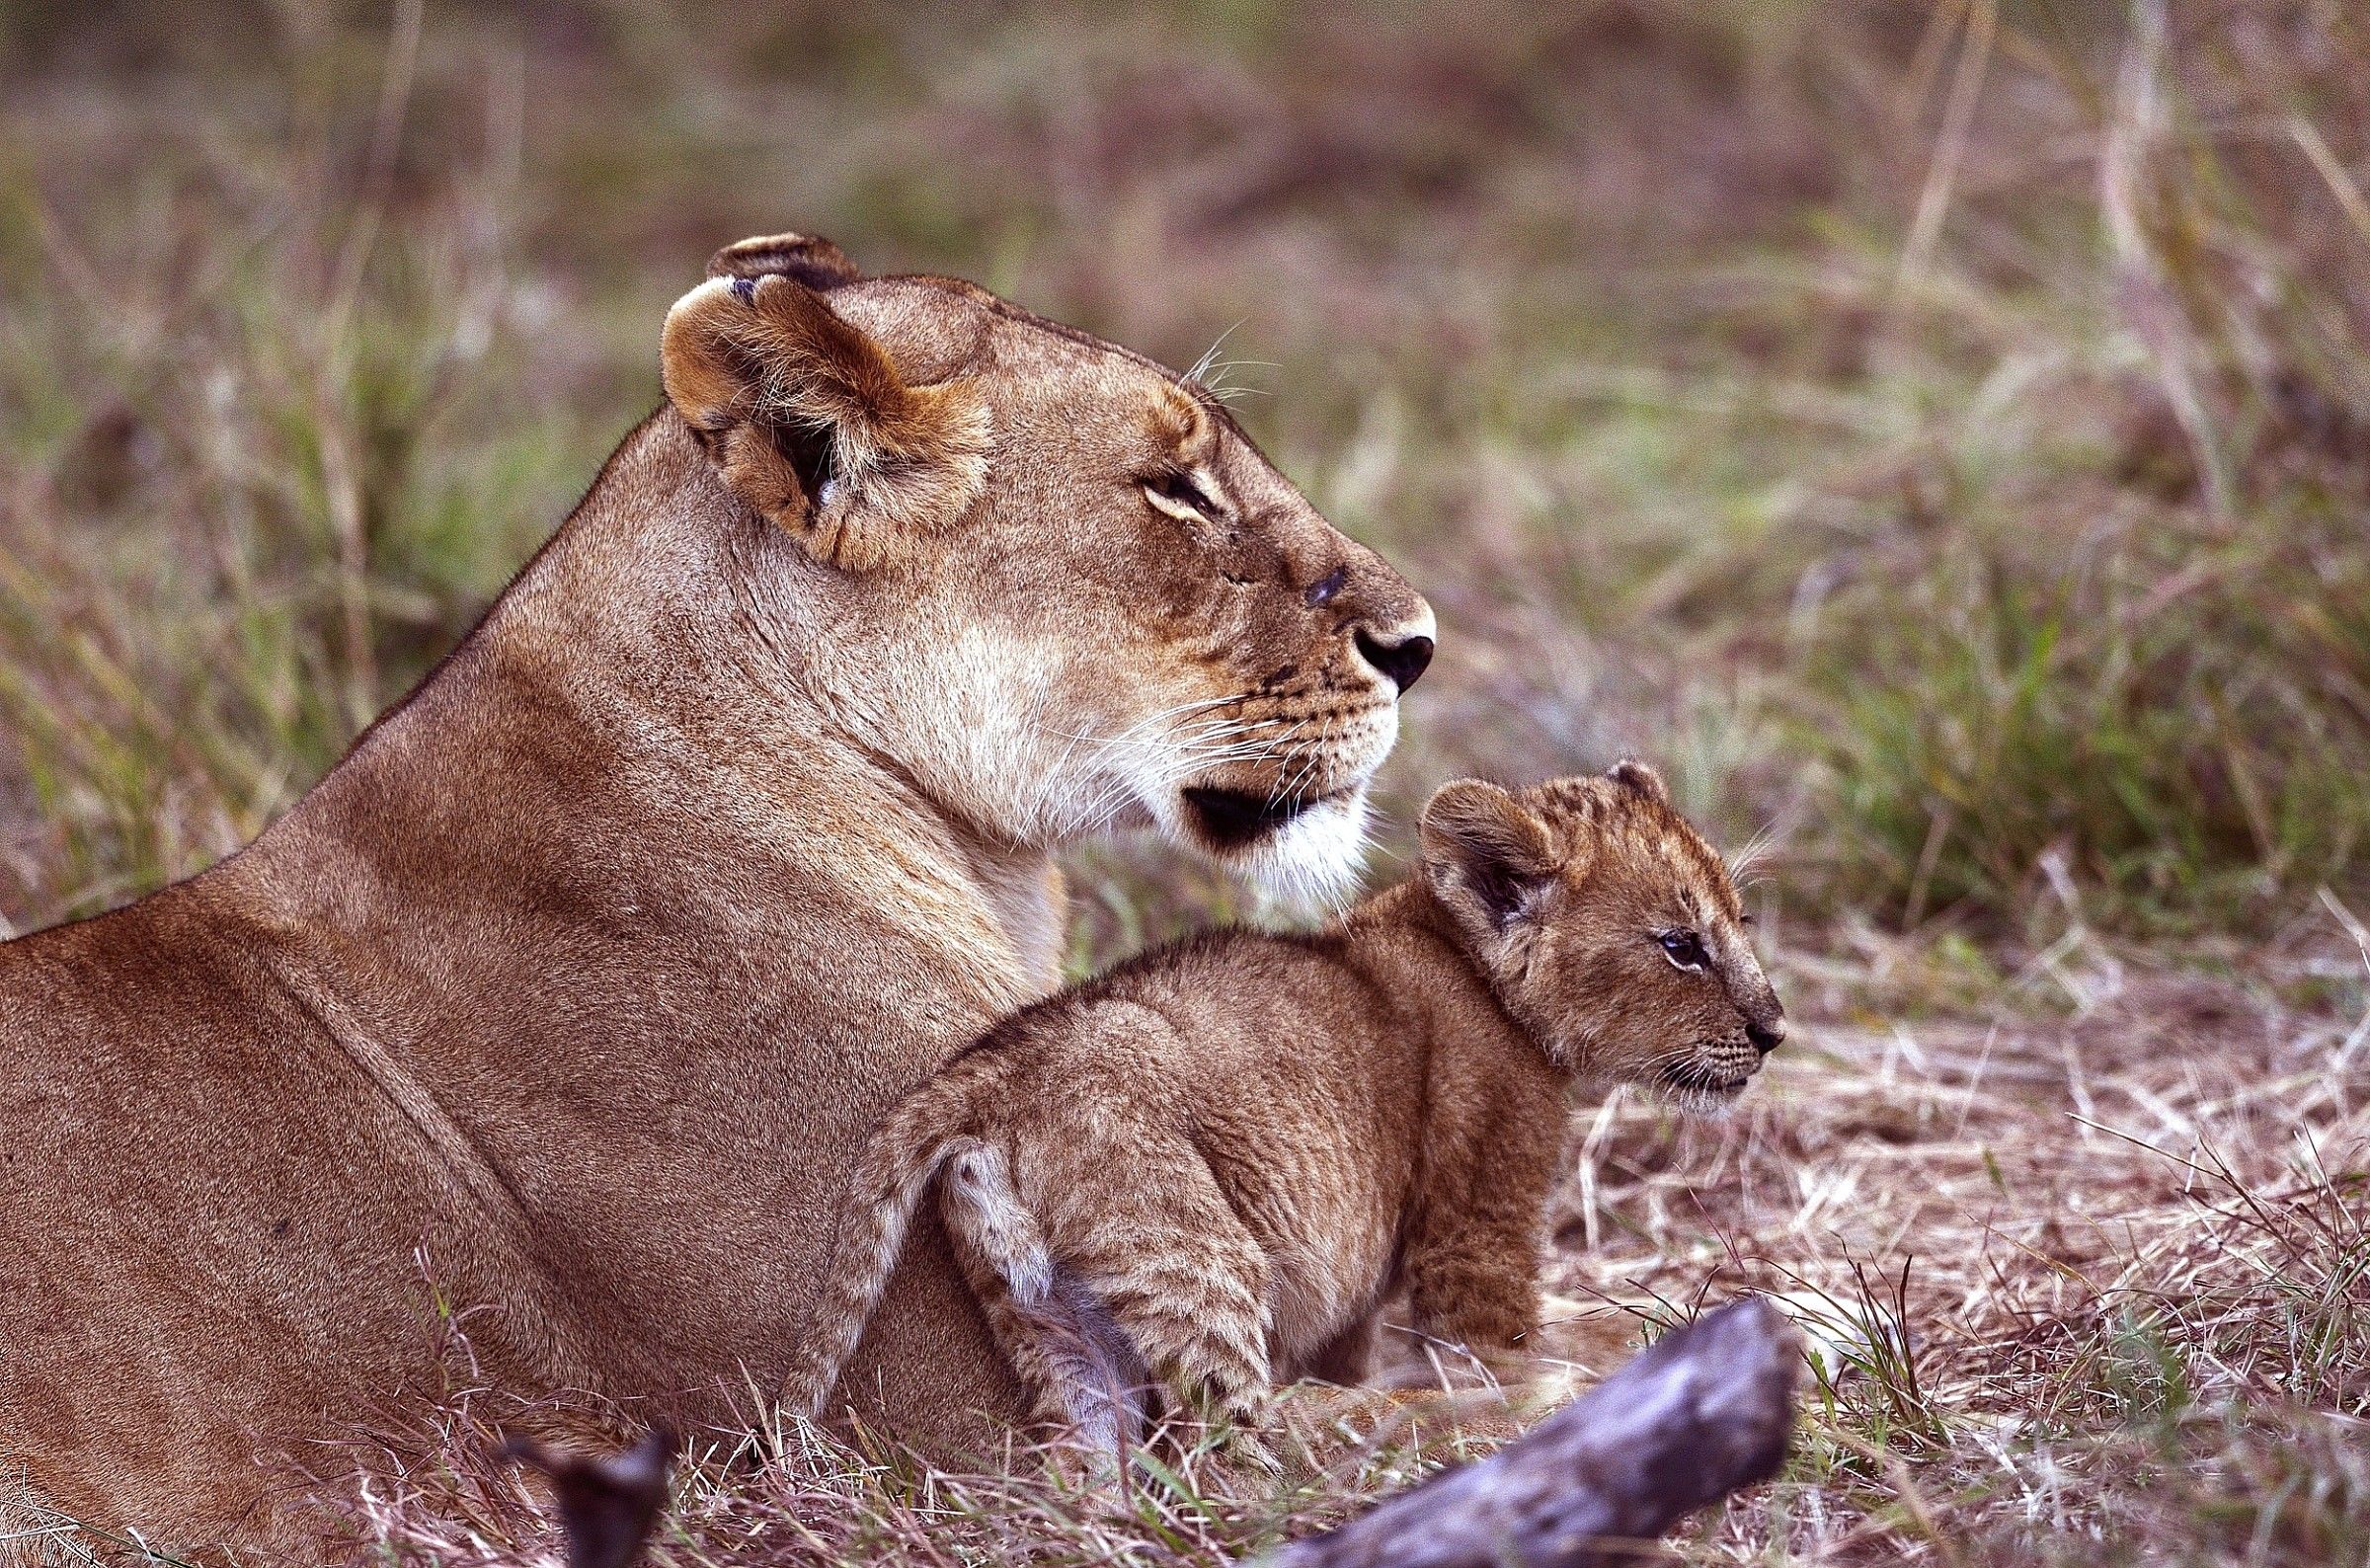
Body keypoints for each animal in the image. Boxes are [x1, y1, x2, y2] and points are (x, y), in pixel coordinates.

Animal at [784, 764, 1785, 1463]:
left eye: (1739, 921)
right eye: (1681, 946)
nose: (1776, 1030)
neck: (1465, 959)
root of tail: (993, 1067)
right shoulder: (1476, 1214)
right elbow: (1509, 1338)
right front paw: (1556, 1388)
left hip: (1042, 1311)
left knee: (1106, 1461)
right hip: (1192, 1249)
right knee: (1231, 1445)